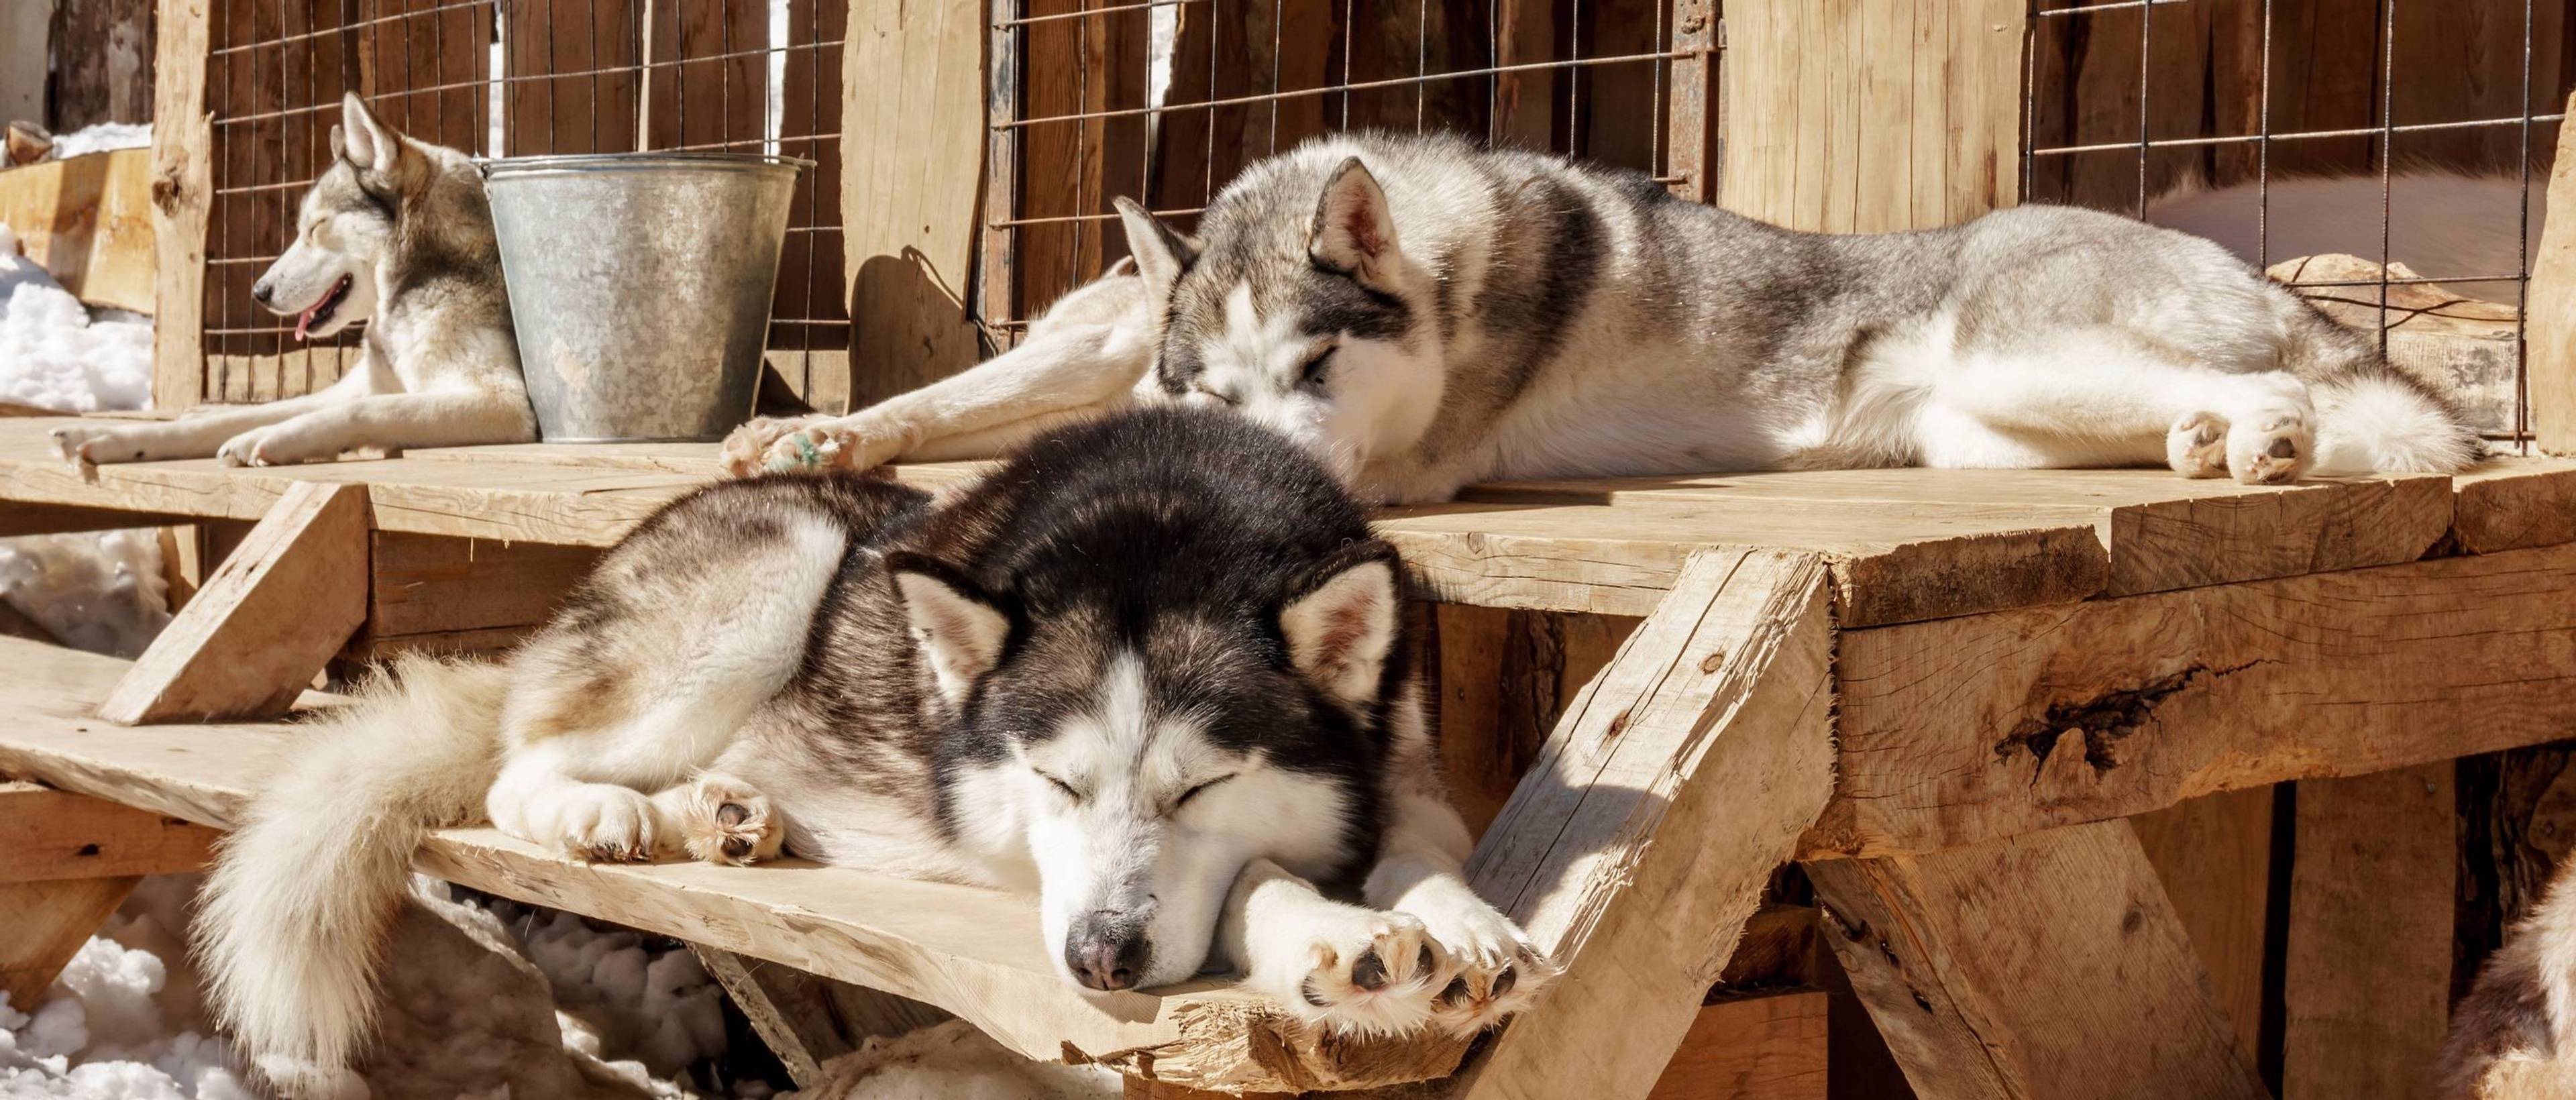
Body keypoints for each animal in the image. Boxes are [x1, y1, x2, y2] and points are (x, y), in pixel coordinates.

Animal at [48, 95, 533, 469]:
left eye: (315, 228)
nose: (259, 293)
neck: (418, 279)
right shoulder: (359, 385)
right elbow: (221, 419)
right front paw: (105, 439)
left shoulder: (508, 406)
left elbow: (364, 410)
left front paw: (273, 439)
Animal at [201, 412, 1546, 1092]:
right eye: (1057, 781)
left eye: (1203, 783)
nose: (1102, 960)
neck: (1174, 521)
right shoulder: (1032, 868)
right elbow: (1257, 883)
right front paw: (1338, 939)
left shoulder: (1404, 761)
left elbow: (1424, 843)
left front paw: (1464, 924)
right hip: (780, 566)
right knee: (516, 763)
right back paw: (608, 813)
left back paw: (722, 816)